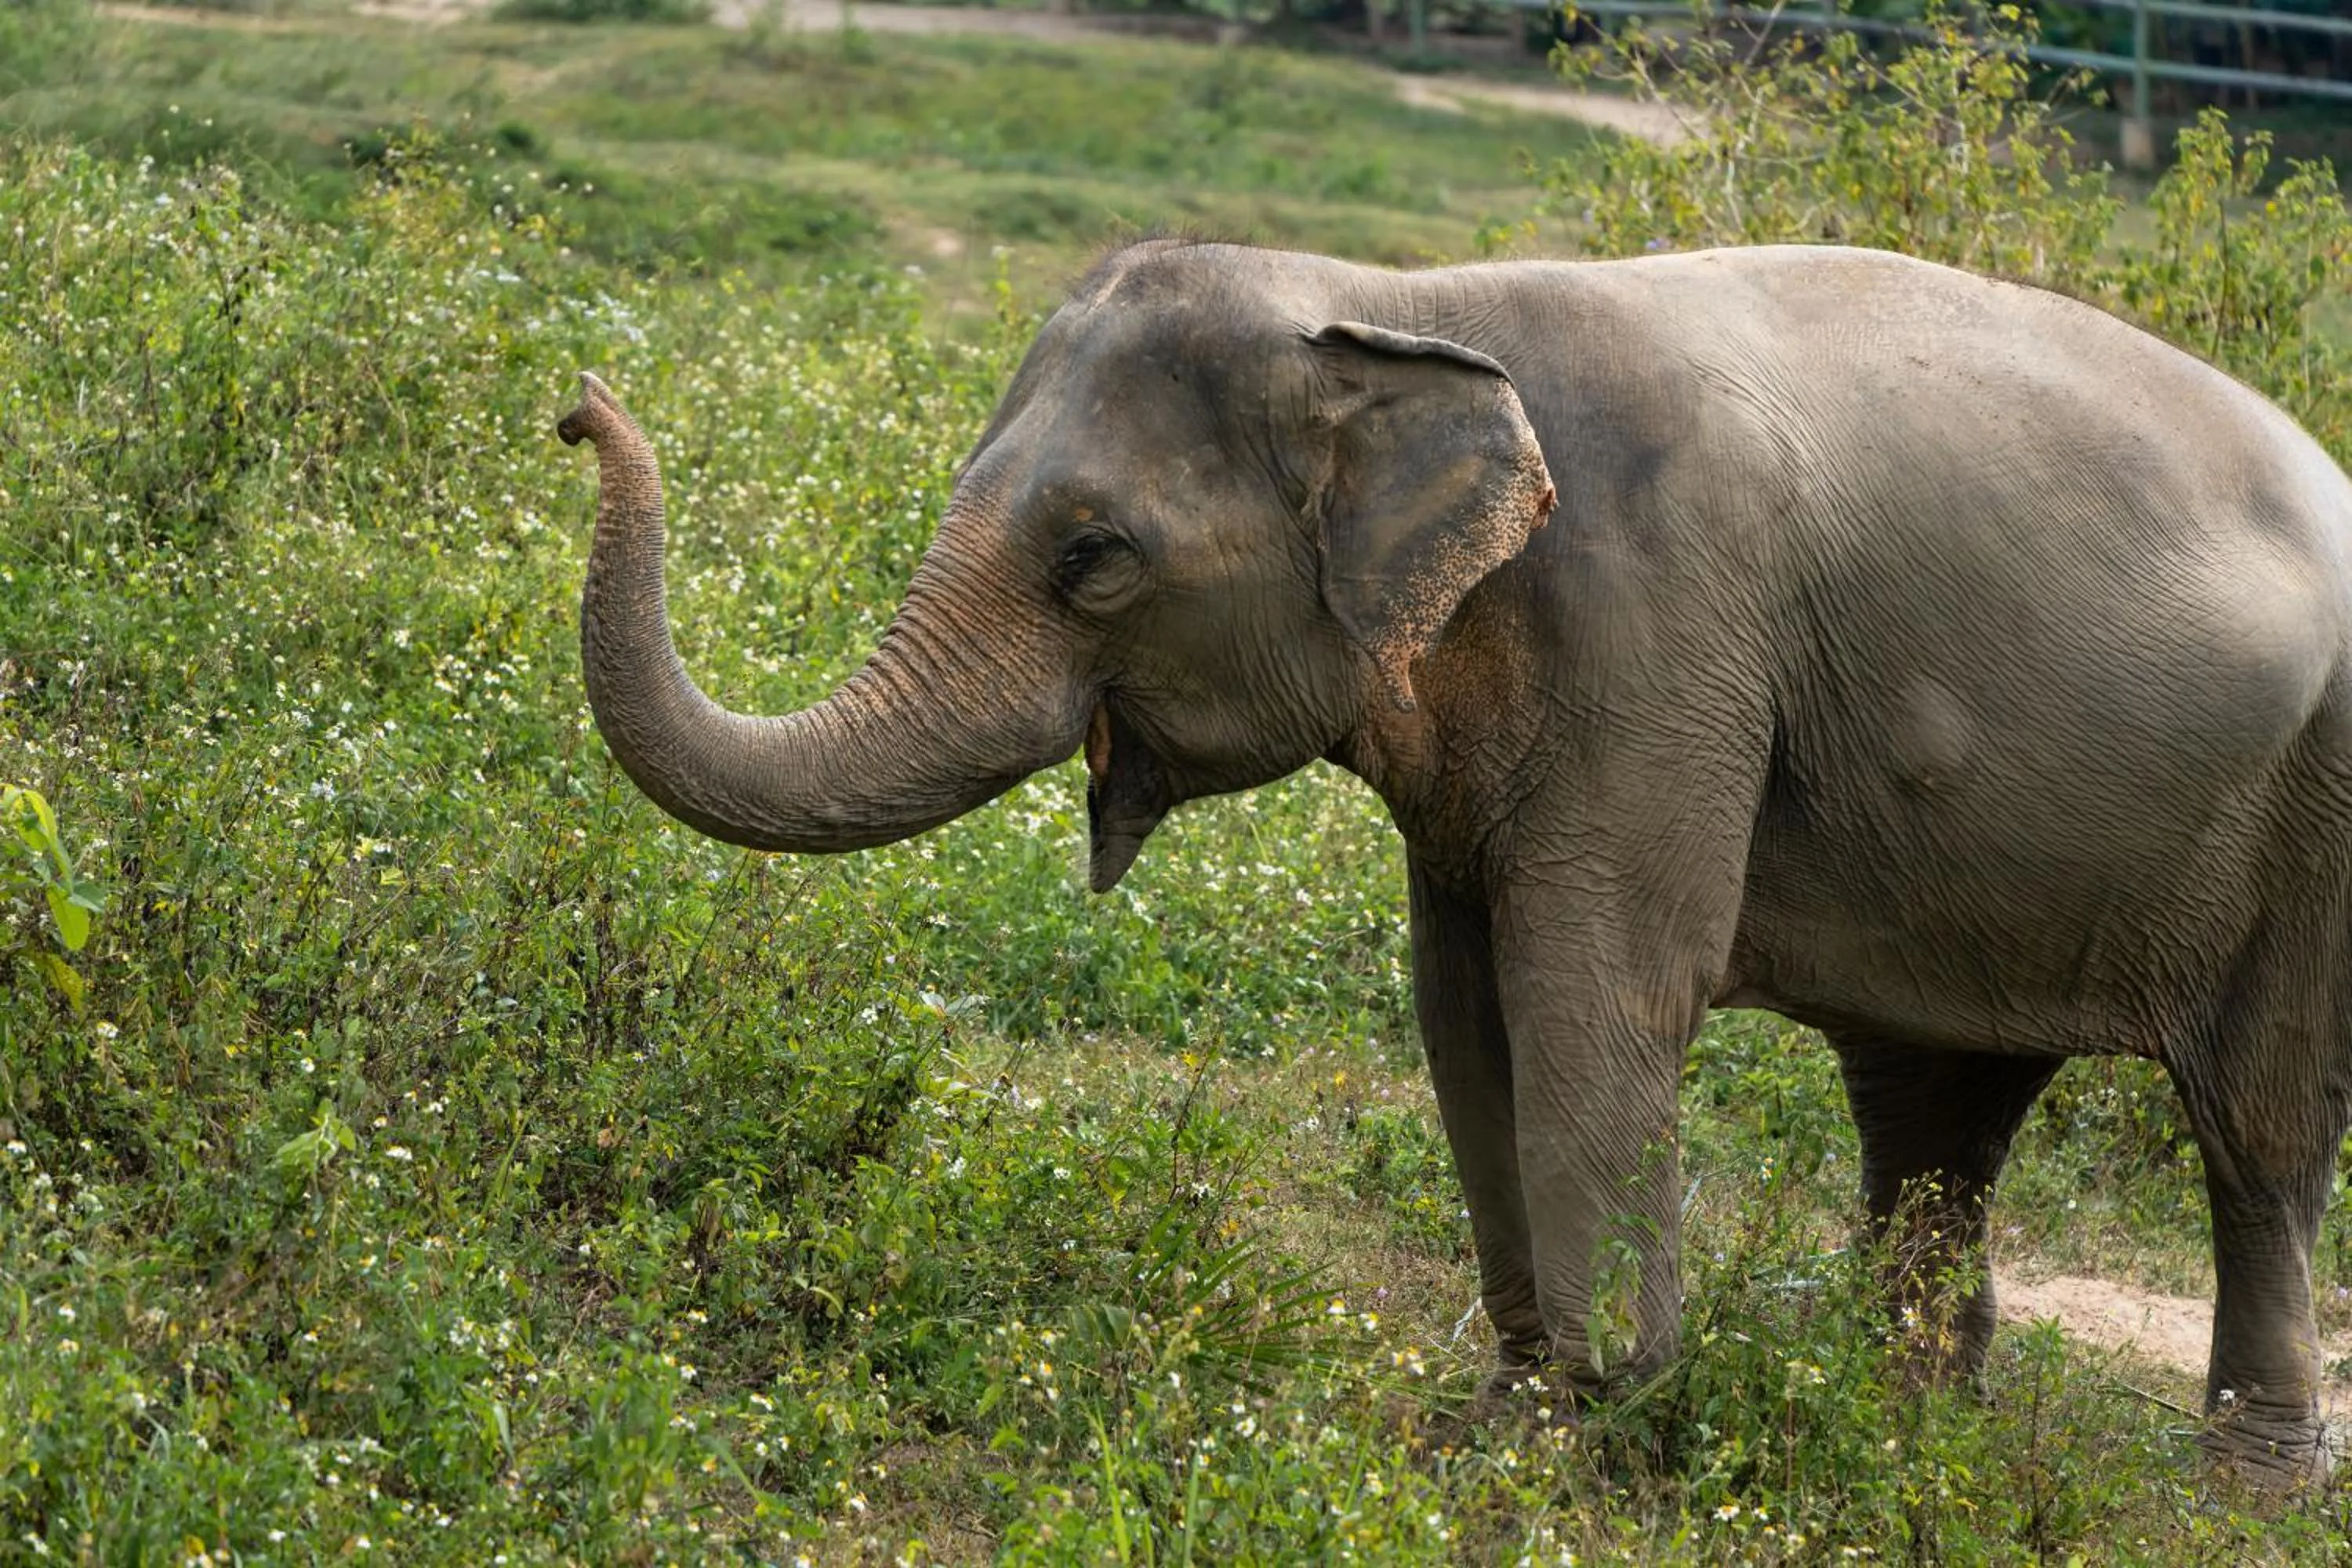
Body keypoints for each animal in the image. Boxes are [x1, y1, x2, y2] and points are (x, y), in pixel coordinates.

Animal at [558, 239, 2352, 1483]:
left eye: (1094, 558)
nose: (577, 405)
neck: (1394, 299)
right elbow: (1463, 1002)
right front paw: (1508, 1410)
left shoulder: (1664, 637)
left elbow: (1602, 988)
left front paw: (1595, 1433)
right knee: (1930, 1111)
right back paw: (1894, 1415)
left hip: (2320, 811)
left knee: (2259, 1128)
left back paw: (2244, 1483)